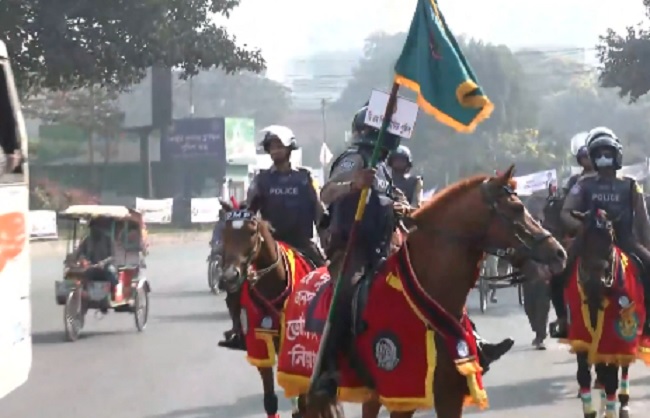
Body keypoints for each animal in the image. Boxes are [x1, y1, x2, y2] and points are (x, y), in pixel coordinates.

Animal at [564, 209, 646, 418]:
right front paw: (590, 411)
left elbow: (611, 378)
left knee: (622, 367)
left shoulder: (615, 335)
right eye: (583, 236)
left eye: (610, 239)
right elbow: (584, 375)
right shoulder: (582, 334)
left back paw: (623, 404)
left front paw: (611, 409)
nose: (594, 283)